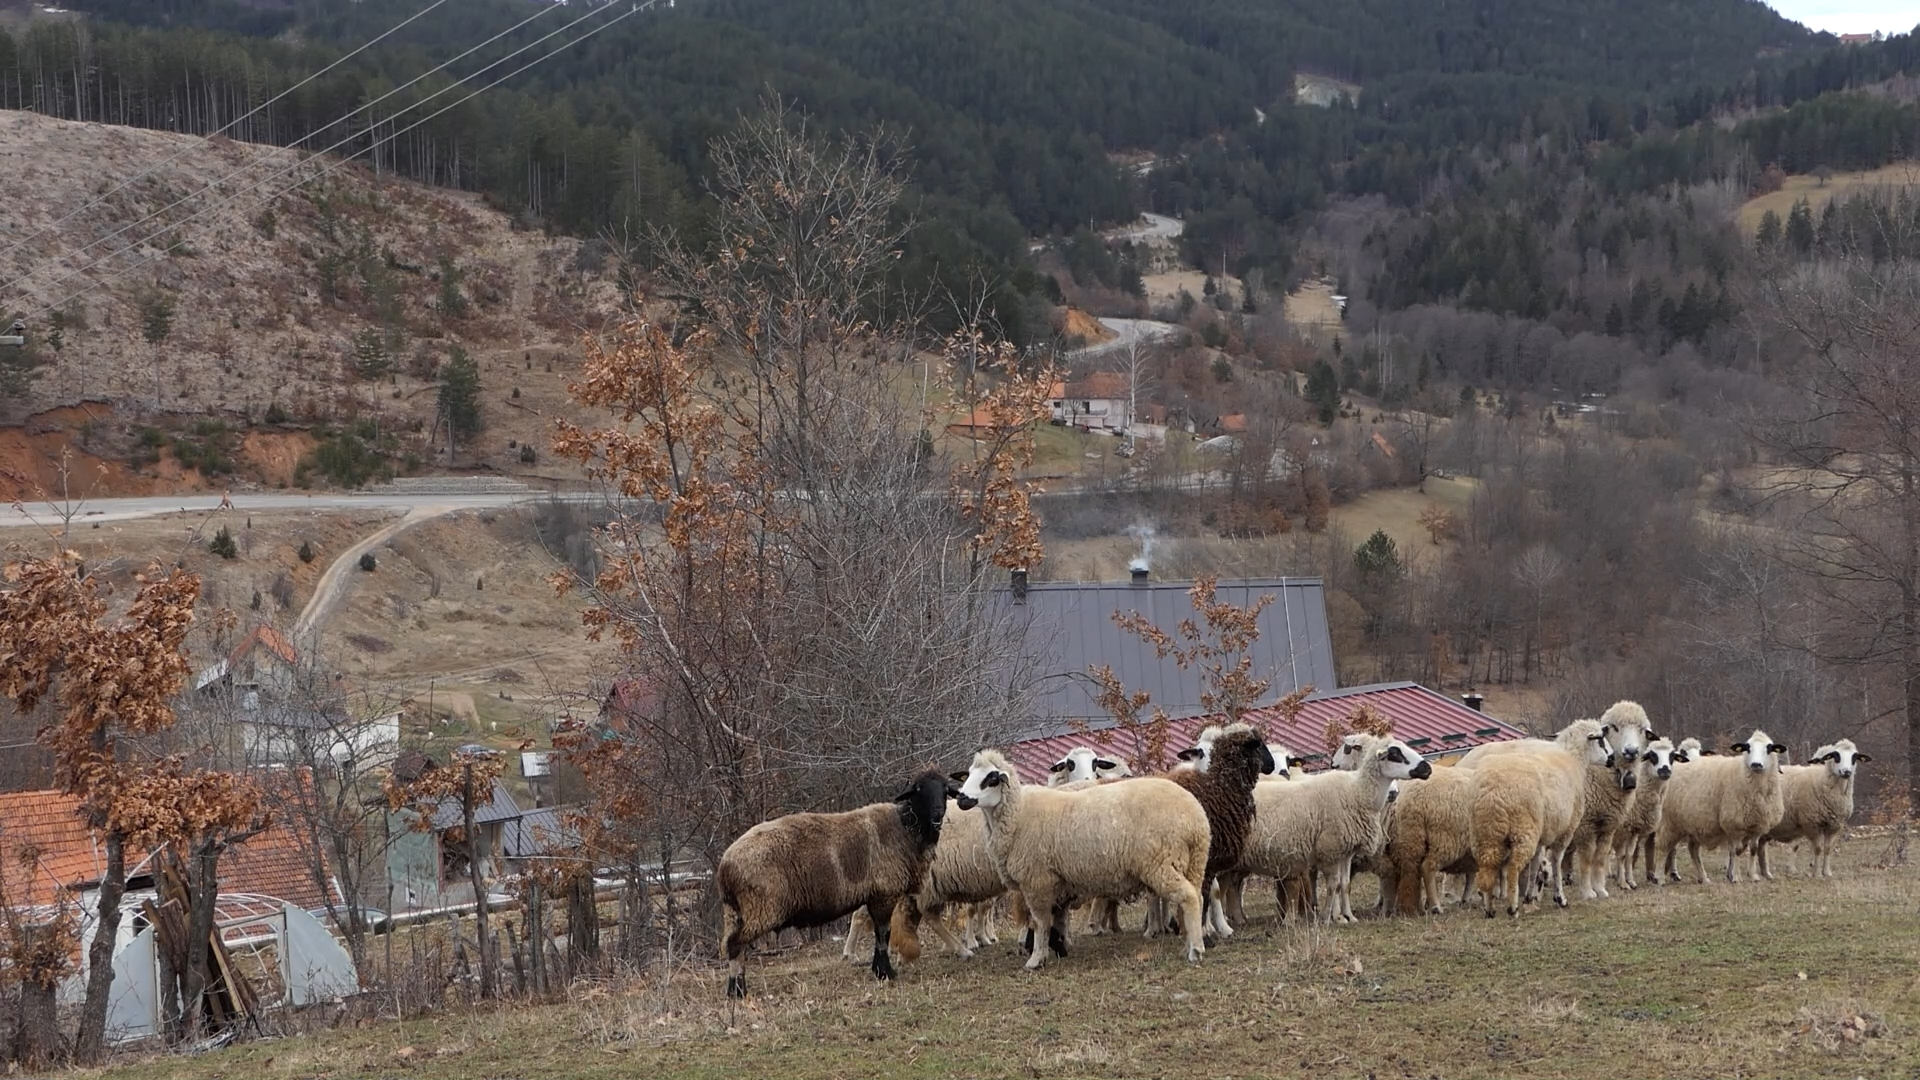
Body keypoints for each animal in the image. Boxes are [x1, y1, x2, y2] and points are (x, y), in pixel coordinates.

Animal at [956, 745, 1205, 960]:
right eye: (969, 774)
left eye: (991, 778)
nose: (961, 798)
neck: (1018, 813)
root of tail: (1195, 817)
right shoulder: (1057, 882)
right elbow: (1057, 919)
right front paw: (1059, 947)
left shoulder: (1037, 881)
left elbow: (1040, 922)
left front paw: (1037, 958)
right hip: (1193, 862)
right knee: (1197, 896)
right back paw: (1188, 944)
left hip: (1161, 863)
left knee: (1189, 897)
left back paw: (1195, 950)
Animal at [1228, 726, 1428, 922]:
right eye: (1395, 754)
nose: (1427, 768)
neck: (1356, 792)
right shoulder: (1331, 848)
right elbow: (1333, 885)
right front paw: (1331, 917)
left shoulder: (1346, 851)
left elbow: (1344, 884)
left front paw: (1349, 916)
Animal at [1466, 718, 1620, 910]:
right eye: (1600, 740)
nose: (1613, 758)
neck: (1573, 760)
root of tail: (1492, 792)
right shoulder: (1565, 829)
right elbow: (1556, 860)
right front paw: (1559, 897)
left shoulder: (1543, 833)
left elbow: (1535, 863)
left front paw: (1530, 895)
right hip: (1522, 830)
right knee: (1513, 866)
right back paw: (1512, 906)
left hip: (1485, 831)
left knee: (1487, 865)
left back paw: (1489, 906)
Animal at [1605, 734, 1681, 887]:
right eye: (1652, 755)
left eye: (1672, 756)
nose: (1665, 770)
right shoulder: (1624, 828)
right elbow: (1622, 855)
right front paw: (1623, 882)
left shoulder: (1634, 829)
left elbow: (1629, 855)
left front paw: (1629, 880)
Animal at [1758, 734, 1873, 880]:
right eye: (1836, 755)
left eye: (1854, 757)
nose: (1846, 771)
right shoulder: (1812, 823)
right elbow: (1817, 848)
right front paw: (1816, 873)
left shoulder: (1835, 825)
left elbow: (1828, 848)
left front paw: (1827, 872)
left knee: (1761, 846)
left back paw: (1766, 873)